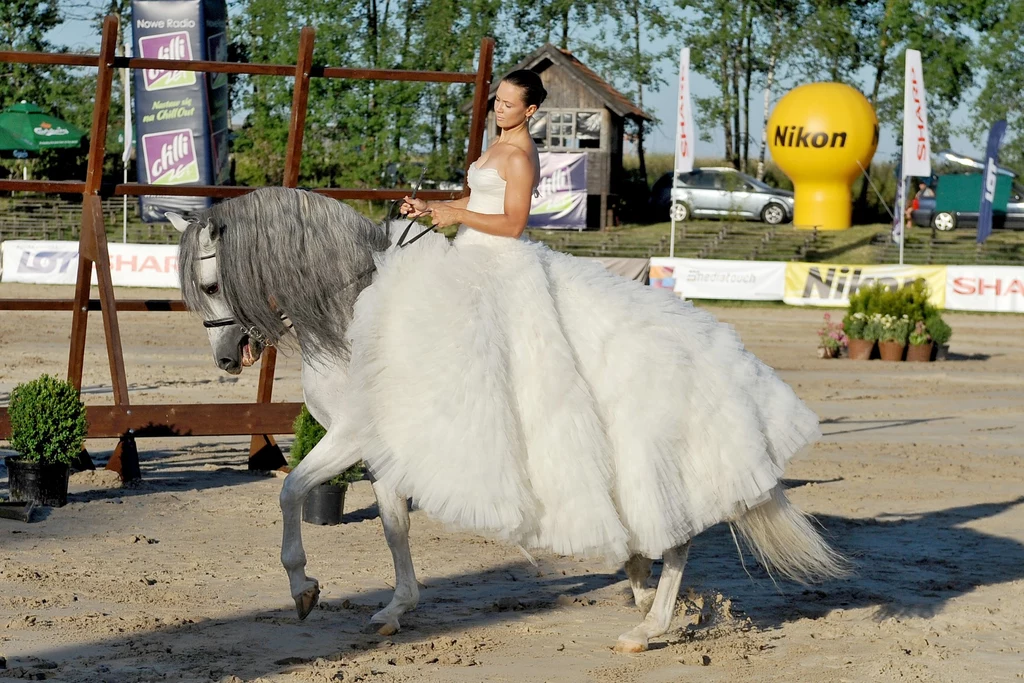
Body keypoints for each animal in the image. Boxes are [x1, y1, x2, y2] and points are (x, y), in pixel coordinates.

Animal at [174, 189, 847, 655]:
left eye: (211, 281)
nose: (226, 359)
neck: (356, 308)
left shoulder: (353, 436)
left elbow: (290, 491)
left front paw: (303, 588)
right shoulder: (385, 447)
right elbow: (394, 525)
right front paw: (396, 608)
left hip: (662, 457)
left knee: (677, 535)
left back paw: (648, 625)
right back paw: (639, 589)